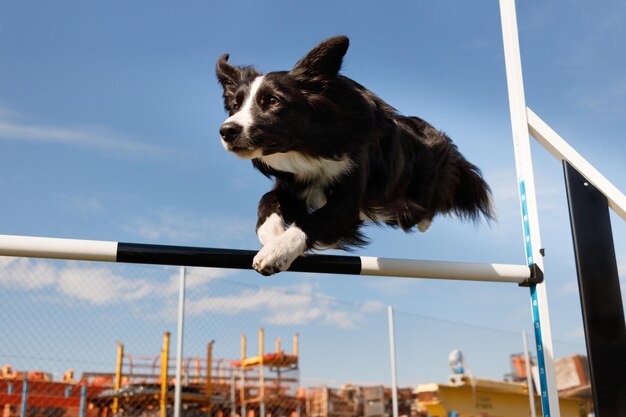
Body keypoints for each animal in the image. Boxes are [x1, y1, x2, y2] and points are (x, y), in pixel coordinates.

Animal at [214, 35, 492, 274]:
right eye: (236, 105)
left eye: (272, 100)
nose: (227, 131)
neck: (312, 147)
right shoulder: (294, 183)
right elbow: (266, 202)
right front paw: (273, 236)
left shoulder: (349, 193)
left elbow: (314, 221)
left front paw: (277, 252)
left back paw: (422, 219)